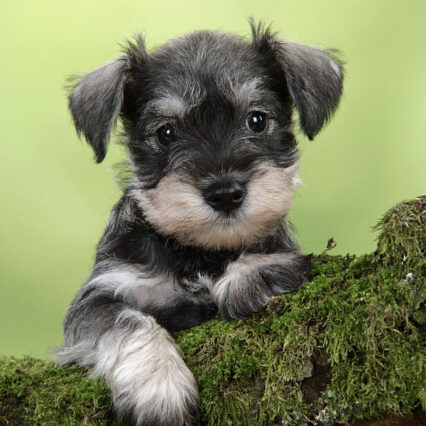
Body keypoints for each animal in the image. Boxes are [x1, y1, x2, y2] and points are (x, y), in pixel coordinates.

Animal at [56, 20, 342, 426]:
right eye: (166, 132)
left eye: (257, 120)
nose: (225, 194)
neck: (198, 253)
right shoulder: (96, 298)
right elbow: (127, 321)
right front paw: (159, 387)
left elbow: (272, 255)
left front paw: (251, 274)